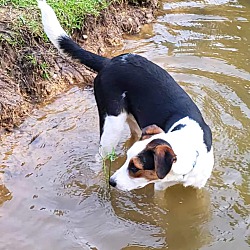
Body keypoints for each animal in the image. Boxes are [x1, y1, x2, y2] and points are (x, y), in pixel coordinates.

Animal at [38, 0, 214, 191]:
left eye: (135, 168)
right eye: (129, 162)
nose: (112, 182)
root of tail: (109, 62)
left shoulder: (198, 186)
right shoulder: (159, 187)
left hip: (133, 122)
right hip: (111, 126)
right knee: (99, 157)